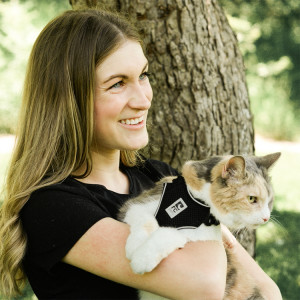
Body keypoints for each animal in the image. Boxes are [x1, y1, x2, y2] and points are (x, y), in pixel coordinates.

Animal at [118, 152, 282, 300]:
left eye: (269, 201)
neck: (195, 204)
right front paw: (134, 246)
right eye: (251, 199)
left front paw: (142, 259)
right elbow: (144, 219)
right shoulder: (137, 204)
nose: (266, 217)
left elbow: (171, 233)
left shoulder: (205, 236)